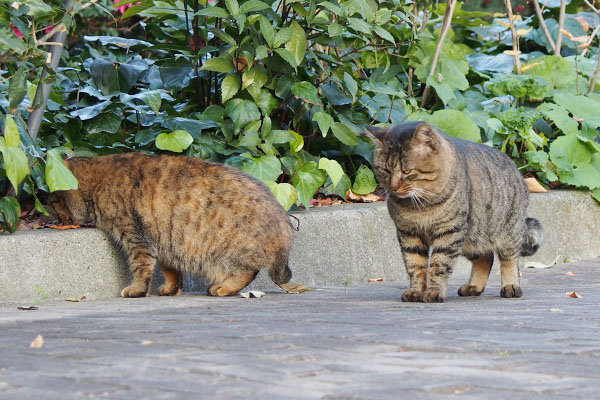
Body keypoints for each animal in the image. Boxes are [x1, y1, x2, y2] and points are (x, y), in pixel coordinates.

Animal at [49, 153, 296, 296]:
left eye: (53, 200)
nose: (53, 215)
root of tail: (284, 221)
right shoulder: (164, 240)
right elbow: (169, 269)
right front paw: (171, 287)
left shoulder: (136, 237)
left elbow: (141, 267)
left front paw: (137, 290)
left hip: (227, 252)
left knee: (248, 271)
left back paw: (224, 287)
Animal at [366, 122, 544, 304]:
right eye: (385, 170)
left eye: (407, 171)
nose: (393, 187)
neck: (420, 205)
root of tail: (517, 169)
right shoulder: (408, 234)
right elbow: (415, 266)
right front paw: (415, 291)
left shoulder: (449, 231)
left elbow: (438, 265)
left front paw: (433, 292)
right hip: (472, 238)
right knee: (486, 259)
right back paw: (473, 287)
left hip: (507, 233)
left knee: (510, 260)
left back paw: (510, 286)